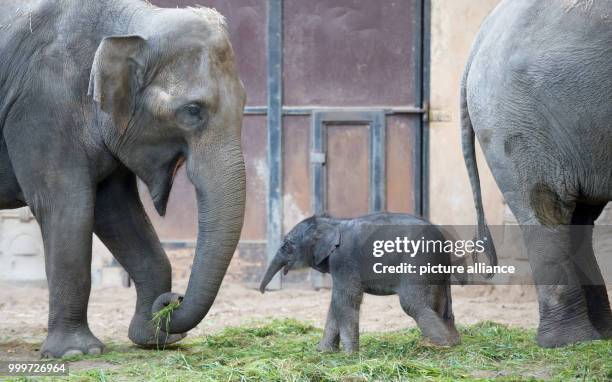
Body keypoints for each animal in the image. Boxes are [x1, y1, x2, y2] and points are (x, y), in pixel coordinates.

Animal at [0, 0, 246, 358]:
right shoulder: (40, 109)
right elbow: (67, 207)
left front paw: (154, 338)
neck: (135, 21)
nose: (173, 300)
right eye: (192, 111)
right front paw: (77, 353)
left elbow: (117, 212)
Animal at [260, 212, 462, 352]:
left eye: (287, 246)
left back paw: (441, 345)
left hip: (419, 261)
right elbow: (335, 303)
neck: (332, 222)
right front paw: (324, 352)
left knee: (413, 304)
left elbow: (346, 300)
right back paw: (451, 342)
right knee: (441, 305)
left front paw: (350, 354)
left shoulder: (344, 261)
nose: (262, 291)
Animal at [464, 0, 612, 348]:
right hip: (519, 120)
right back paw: (571, 342)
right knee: (548, 213)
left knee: (579, 218)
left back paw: (598, 337)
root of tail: (482, 35)